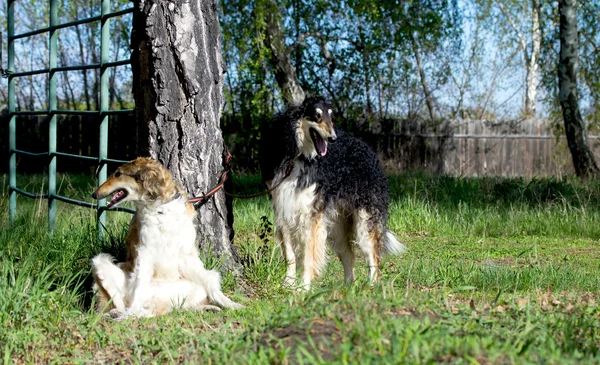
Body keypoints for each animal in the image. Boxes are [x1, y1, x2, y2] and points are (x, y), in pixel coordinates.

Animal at [91, 158, 241, 318]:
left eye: (118, 174)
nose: (94, 194)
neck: (160, 208)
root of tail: (156, 303)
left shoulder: (186, 255)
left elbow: (213, 289)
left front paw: (232, 304)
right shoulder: (145, 253)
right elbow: (138, 286)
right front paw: (130, 313)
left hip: (201, 281)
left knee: (186, 302)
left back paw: (209, 307)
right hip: (99, 261)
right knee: (124, 304)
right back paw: (121, 313)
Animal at [260, 95, 406, 288]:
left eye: (331, 116)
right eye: (317, 116)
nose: (333, 138)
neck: (298, 157)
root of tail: (367, 149)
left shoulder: (311, 216)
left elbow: (308, 257)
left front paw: (303, 287)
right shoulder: (284, 210)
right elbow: (290, 255)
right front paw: (288, 284)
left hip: (364, 222)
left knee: (374, 256)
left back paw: (371, 286)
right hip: (337, 225)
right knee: (349, 255)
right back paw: (348, 287)